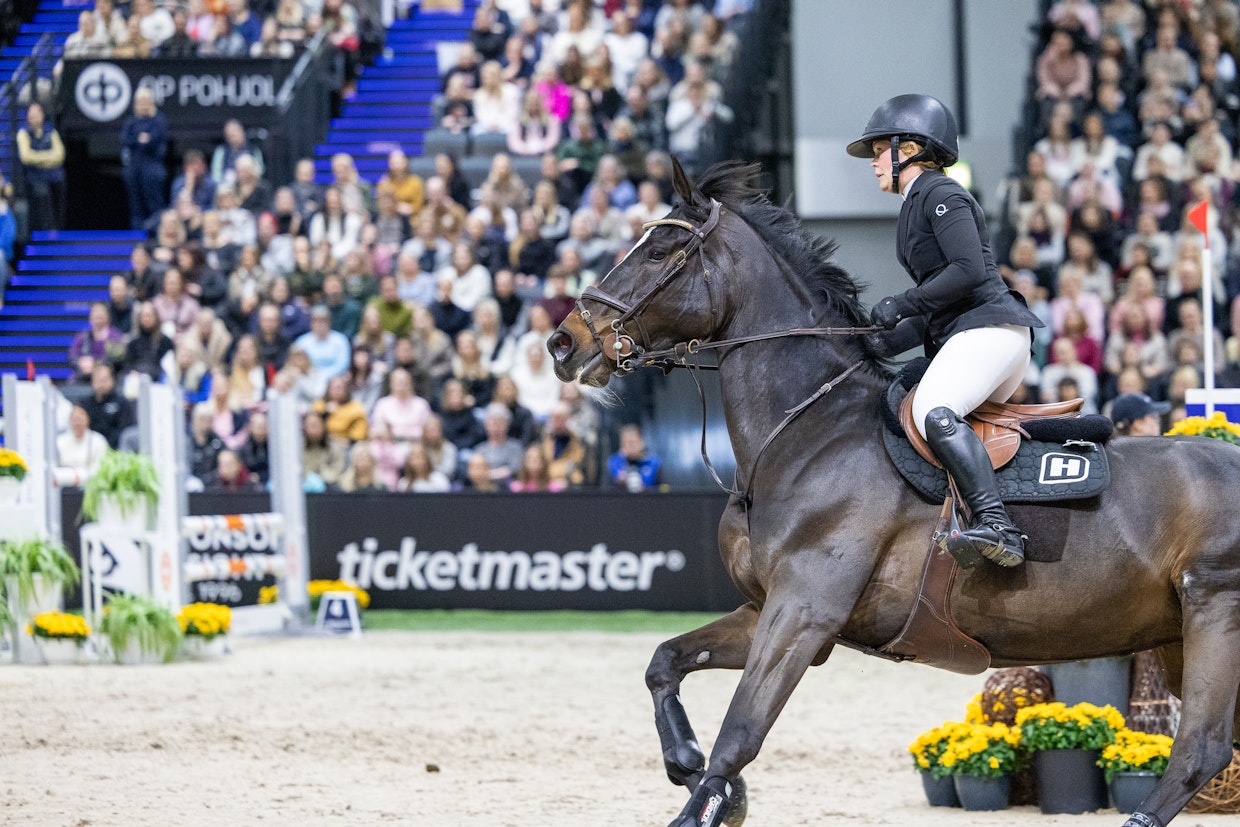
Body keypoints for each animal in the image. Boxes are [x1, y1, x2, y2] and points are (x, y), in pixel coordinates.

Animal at [548, 158, 1240, 827]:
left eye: (661, 251)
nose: (564, 343)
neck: (805, 430)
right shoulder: (767, 608)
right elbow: (664, 661)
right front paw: (689, 766)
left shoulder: (804, 612)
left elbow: (741, 728)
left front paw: (708, 799)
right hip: (1176, 636)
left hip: (1213, 611)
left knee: (1200, 749)